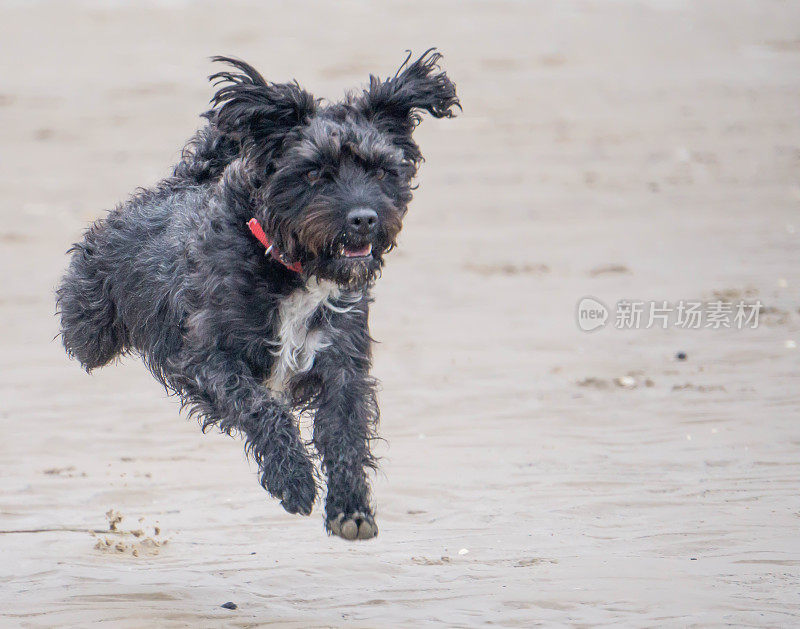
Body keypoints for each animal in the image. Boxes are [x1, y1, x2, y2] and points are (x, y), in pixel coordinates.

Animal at [56, 50, 460, 540]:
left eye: (381, 170)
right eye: (313, 172)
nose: (364, 219)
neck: (290, 267)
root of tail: (181, 183)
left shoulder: (342, 358)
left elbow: (345, 430)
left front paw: (350, 508)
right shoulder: (209, 357)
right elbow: (261, 406)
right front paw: (294, 480)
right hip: (90, 321)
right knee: (85, 337)